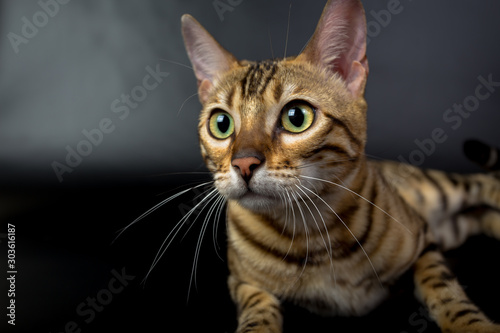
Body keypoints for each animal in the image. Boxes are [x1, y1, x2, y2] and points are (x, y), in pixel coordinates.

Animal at [180, 0, 500, 330]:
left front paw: (474, 325)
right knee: (481, 215)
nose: (243, 163)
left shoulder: (425, 243)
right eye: (221, 123)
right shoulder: (241, 281)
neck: (312, 236)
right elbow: (256, 308)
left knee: (487, 187)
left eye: (296, 117)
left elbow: (445, 291)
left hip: (439, 191)